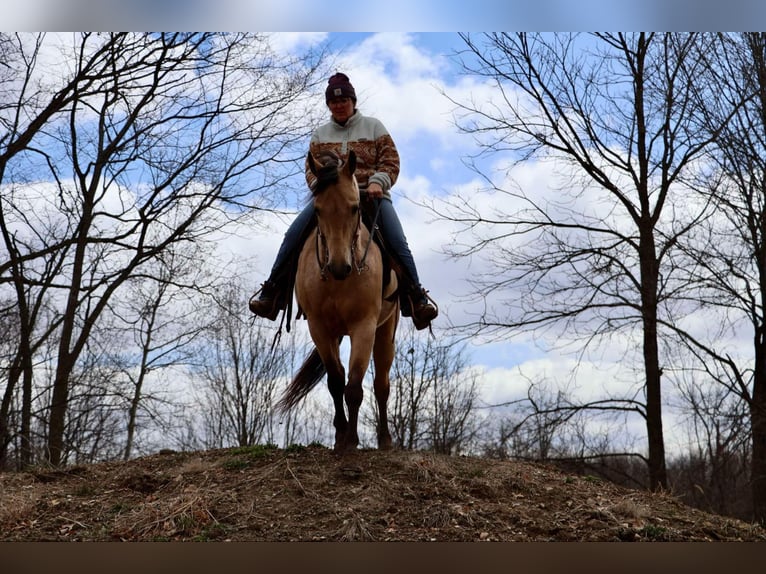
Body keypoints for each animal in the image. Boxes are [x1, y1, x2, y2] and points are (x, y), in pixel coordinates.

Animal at [277, 150, 399, 453]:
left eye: (355, 208)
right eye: (318, 209)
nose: (339, 267)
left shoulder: (364, 326)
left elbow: (354, 386)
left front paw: (352, 441)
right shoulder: (320, 328)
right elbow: (335, 381)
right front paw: (341, 436)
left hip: (386, 330)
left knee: (382, 384)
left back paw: (385, 440)